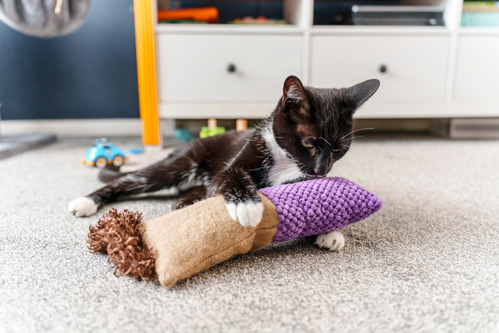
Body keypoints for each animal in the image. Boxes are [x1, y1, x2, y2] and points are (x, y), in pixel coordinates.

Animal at [67, 75, 378, 250]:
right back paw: (86, 201)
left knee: (183, 197)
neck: (283, 160)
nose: (321, 169)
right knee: (130, 179)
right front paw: (247, 206)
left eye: (339, 149)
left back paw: (185, 204)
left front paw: (329, 231)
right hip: (182, 164)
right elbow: (232, 176)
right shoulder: (238, 161)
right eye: (308, 143)